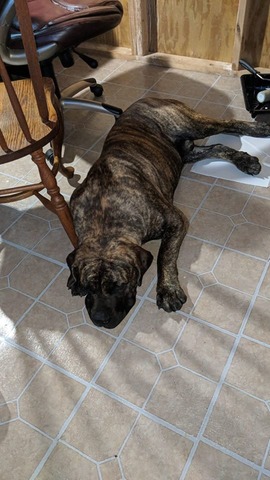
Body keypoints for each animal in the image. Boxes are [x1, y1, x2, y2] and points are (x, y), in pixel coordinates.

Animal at [67, 97, 270, 330]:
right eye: (88, 286)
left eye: (119, 285)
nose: (100, 319)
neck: (104, 216)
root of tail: (147, 98)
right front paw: (72, 278)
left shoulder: (176, 221)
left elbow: (164, 255)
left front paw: (167, 290)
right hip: (185, 153)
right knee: (217, 146)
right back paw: (244, 160)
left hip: (191, 124)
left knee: (229, 123)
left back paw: (260, 131)